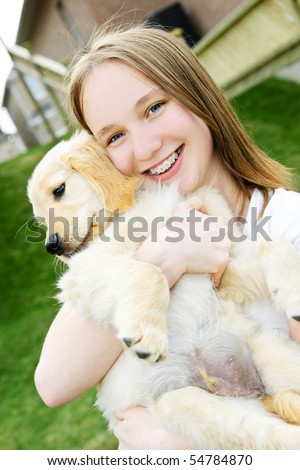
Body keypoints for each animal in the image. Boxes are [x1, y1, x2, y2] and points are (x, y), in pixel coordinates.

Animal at [27, 130, 300, 450]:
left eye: (59, 190)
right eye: (39, 219)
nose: (52, 246)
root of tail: (251, 392)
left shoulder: (223, 262)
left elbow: (273, 244)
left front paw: (293, 291)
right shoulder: (85, 271)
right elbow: (152, 271)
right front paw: (148, 335)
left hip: (268, 347)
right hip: (182, 403)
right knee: (265, 433)